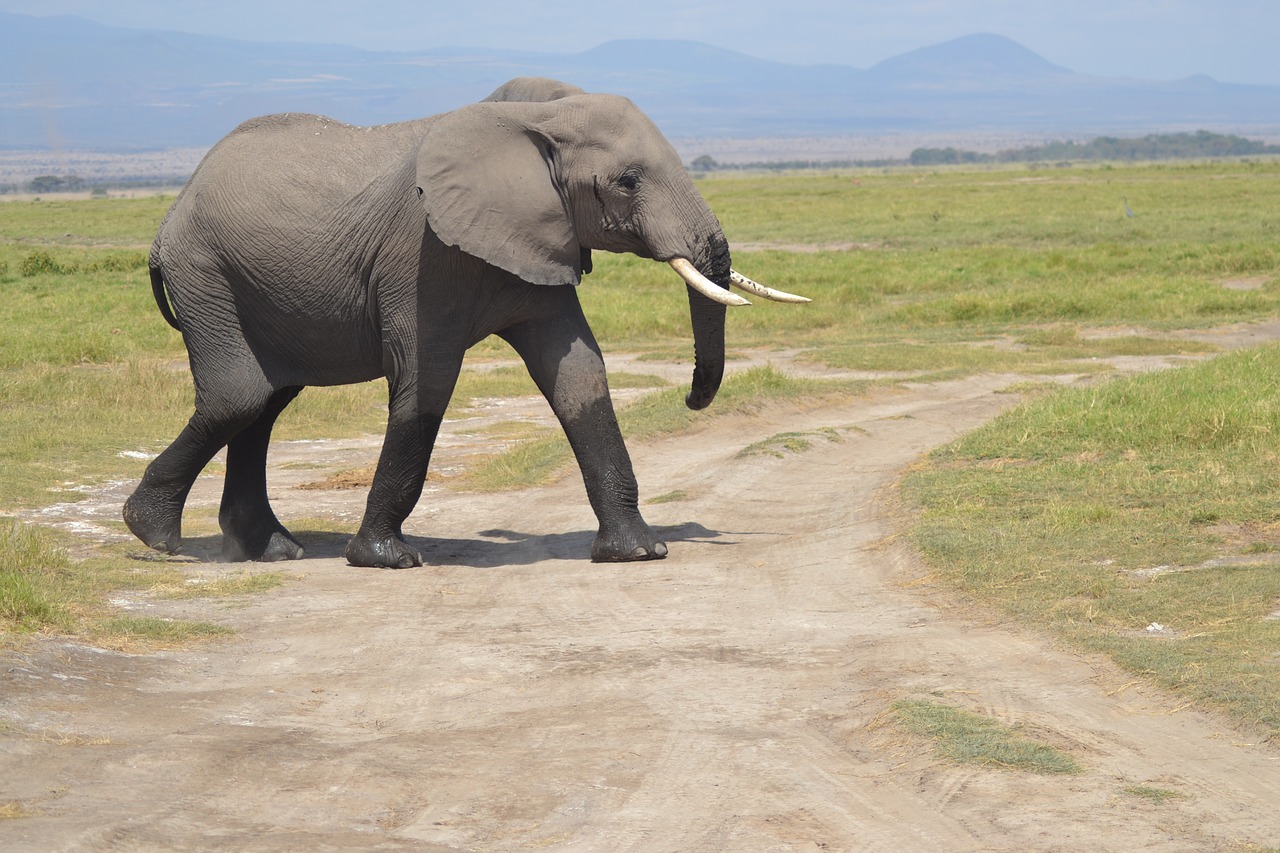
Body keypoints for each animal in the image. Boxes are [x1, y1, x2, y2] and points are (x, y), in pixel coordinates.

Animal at [122, 74, 798, 563]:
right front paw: (386, 559)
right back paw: (156, 537)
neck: (537, 116)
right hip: (207, 275)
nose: (692, 398)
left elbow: (579, 374)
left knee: (264, 403)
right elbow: (427, 380)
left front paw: (637, 552)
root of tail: (171, 214)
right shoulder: (421, 255)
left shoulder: (538, 239)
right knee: (240, 397)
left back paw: (270, 551)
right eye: (629, 181)